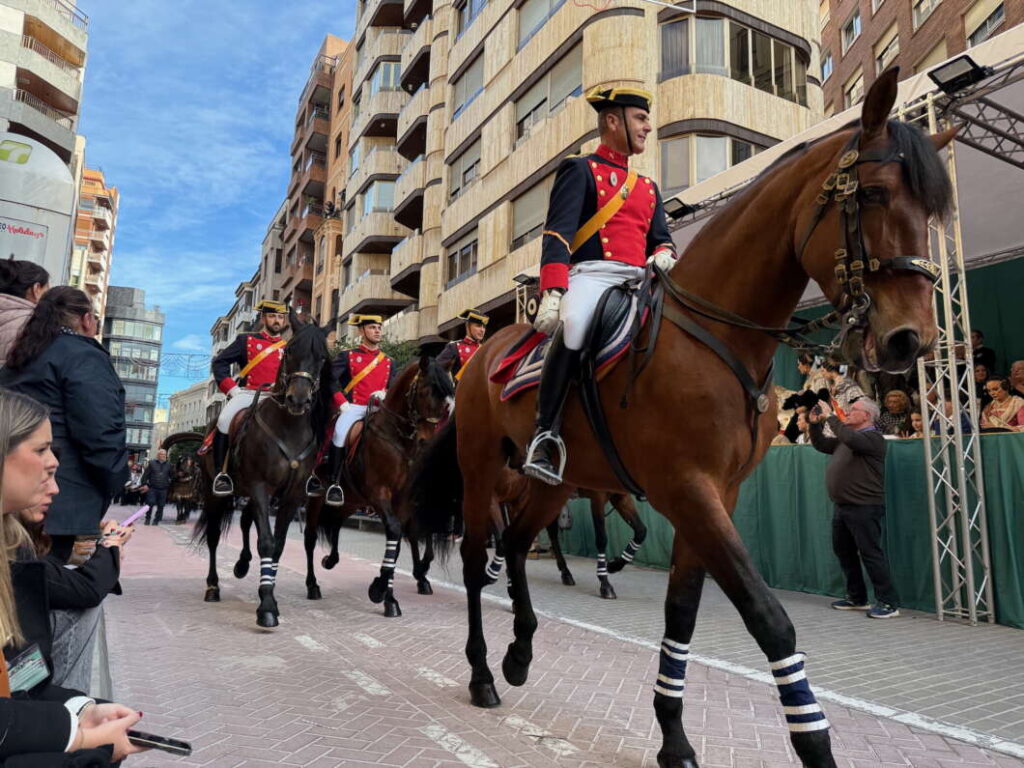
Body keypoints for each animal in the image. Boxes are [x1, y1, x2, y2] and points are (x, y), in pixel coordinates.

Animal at [163, 315, 331, 626]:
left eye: (323, 357)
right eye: (290, 349)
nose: (298, 400)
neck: (288, 426)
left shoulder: (290, 496)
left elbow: (277, 544)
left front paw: (269, 590)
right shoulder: (259, 487)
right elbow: (265, 541)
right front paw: (266, 605)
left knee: (244, 522)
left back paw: (241, 564)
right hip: (217, 495)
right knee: (214, 535)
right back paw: (213, 587)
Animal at [299, 356, 452, 618]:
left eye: (445, 401)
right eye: (424, 392)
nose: (427, 442)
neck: (398, 439)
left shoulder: (402, 500)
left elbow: (397, 542)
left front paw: (387, 595)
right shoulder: (379, 494)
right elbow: (395, 532)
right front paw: (380, 589)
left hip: (351, 500)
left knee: (336, 523)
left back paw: (331, 559)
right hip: (316, 499)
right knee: (310, 538)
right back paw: (312, 585)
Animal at [405, 67, 950, 768]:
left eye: (932, 211)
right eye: (877, 194)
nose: (913, 341)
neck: (716, 336)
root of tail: (479, 355)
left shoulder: (717, 494)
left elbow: (683, 612)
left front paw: (673, 736)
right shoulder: (688, 490)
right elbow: (767, 616)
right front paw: (812, 739)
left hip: (552, 484)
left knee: (519, 544)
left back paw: (520, 652)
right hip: (479, 473)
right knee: (479, 560)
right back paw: (480, 674)